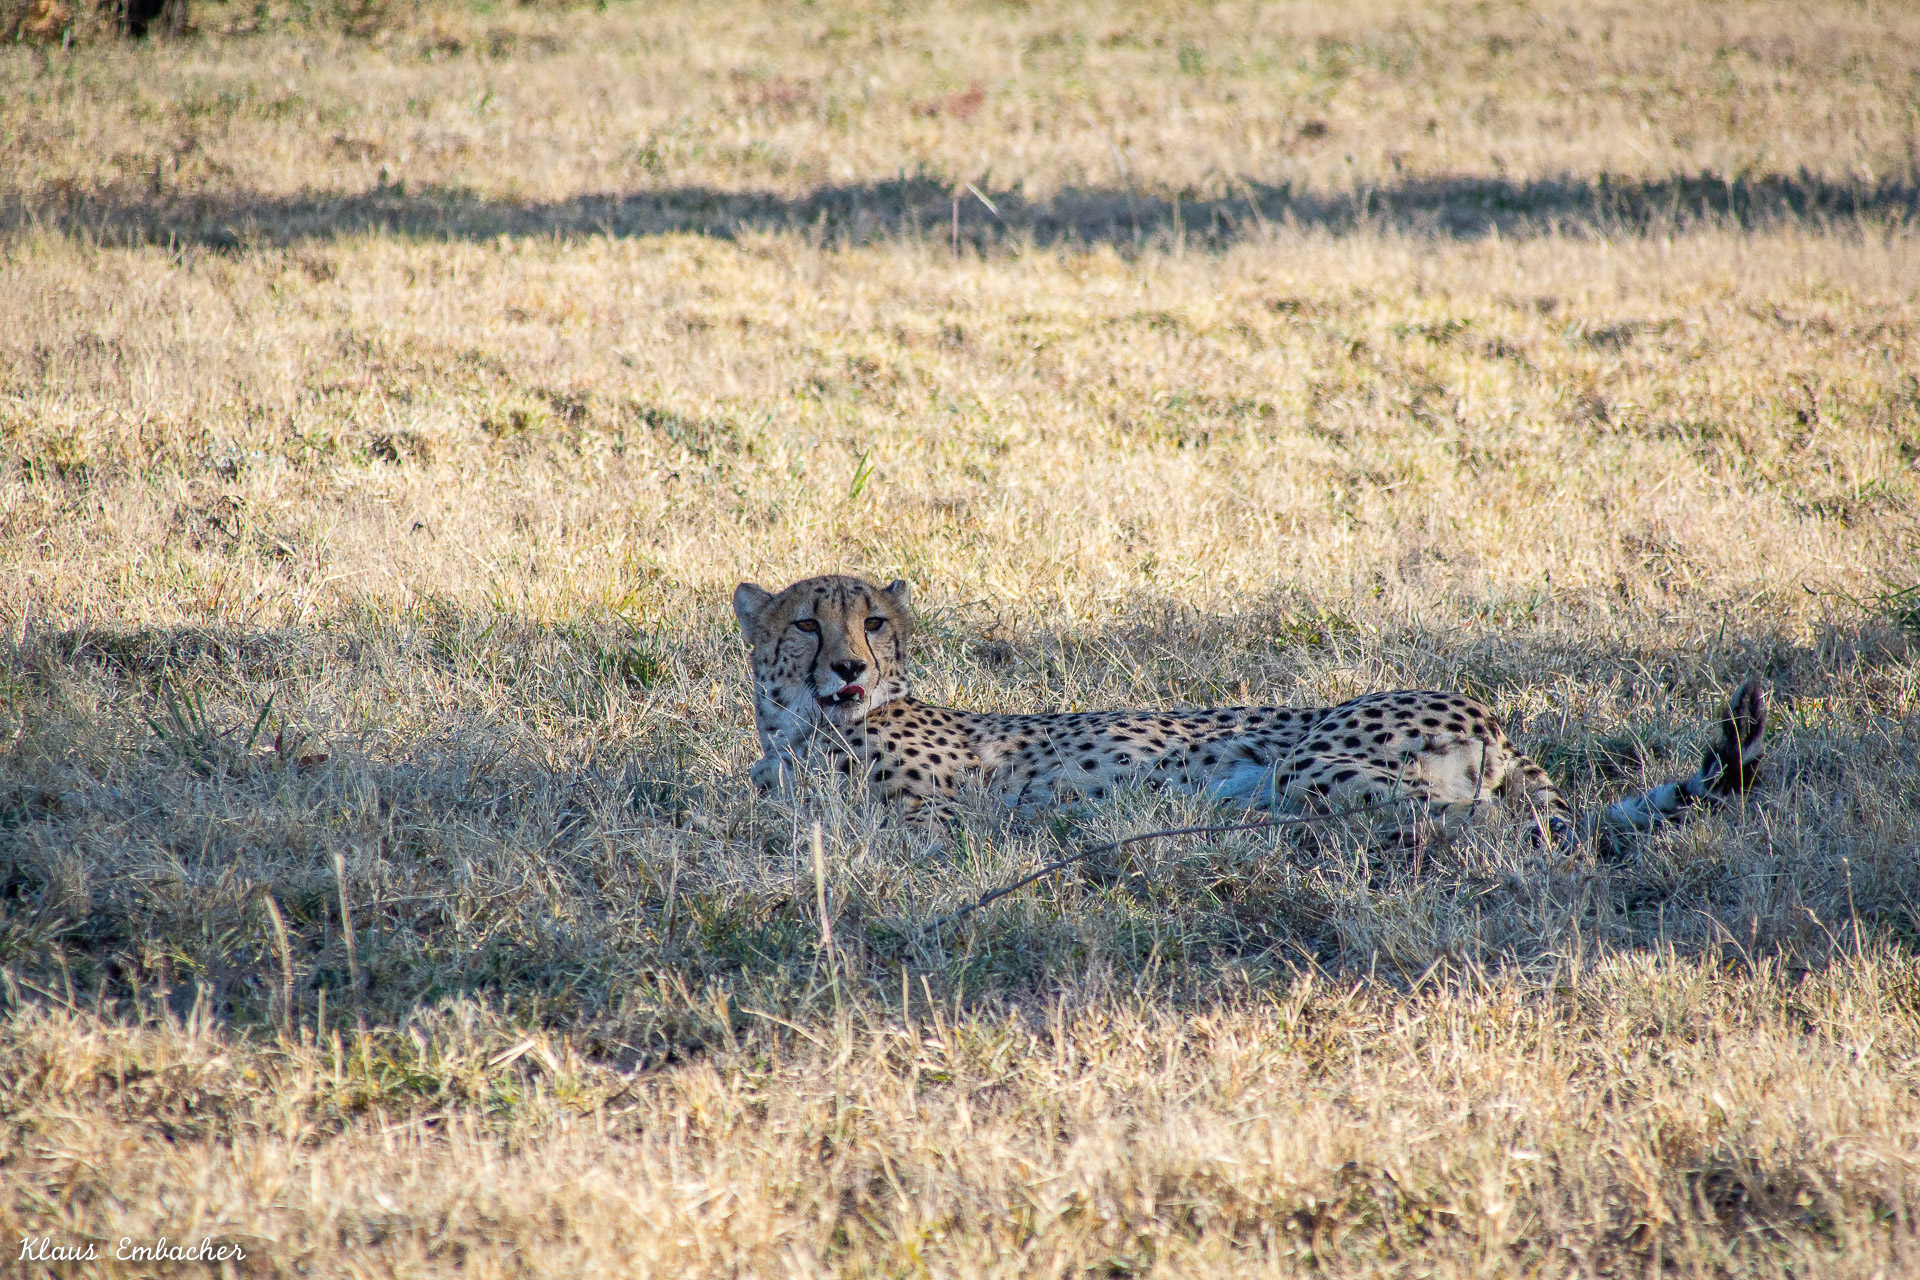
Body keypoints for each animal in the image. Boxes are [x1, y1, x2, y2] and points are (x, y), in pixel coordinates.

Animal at [733, 573, 1765, 843]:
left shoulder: (936, 816)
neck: (807, 730)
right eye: (805, 625)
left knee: (1490, 826)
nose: (849, 670)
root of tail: (1487, 710)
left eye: (871, 621)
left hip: (1316, 765)